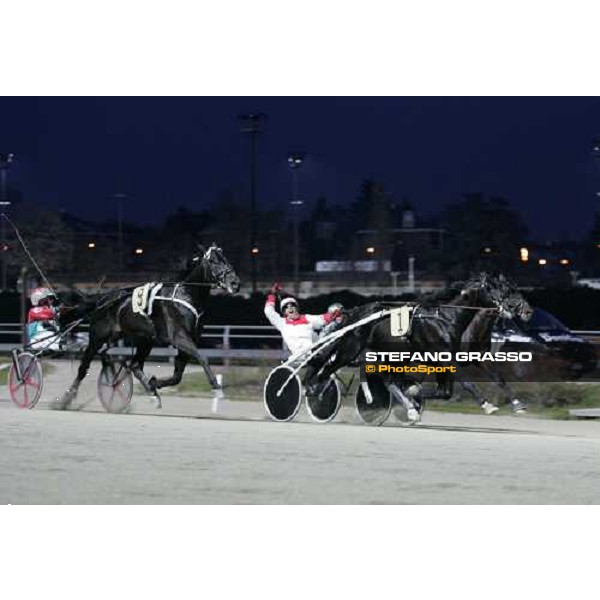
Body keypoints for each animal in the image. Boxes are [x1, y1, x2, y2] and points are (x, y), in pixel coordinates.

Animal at [57, 244, 240, 408]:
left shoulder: (188, 340)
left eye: (226, 259)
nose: (235, 283)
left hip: (143, 339)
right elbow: (202, 358)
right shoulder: (179, 337)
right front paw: (216, 386)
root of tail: (102, 299)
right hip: (98, 336)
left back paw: (149, 392)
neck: (186, 295)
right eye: (214, 261)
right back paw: (66, 398)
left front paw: (154, 383)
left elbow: (177, 376)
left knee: (134, 364)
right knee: (84, 366)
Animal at [308, 272, 532, 418]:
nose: (528, 311)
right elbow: (464, 383)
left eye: (513, 289)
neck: (445, 317)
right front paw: (487, 405)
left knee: (388, 380)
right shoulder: (444, 357)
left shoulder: (471, 358)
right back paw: (314, 392)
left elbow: (493, 379)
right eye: (502, 290)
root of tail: (354, 313)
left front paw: (518, 404)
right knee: (327, 368)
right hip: (350, 349)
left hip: (391, 355)